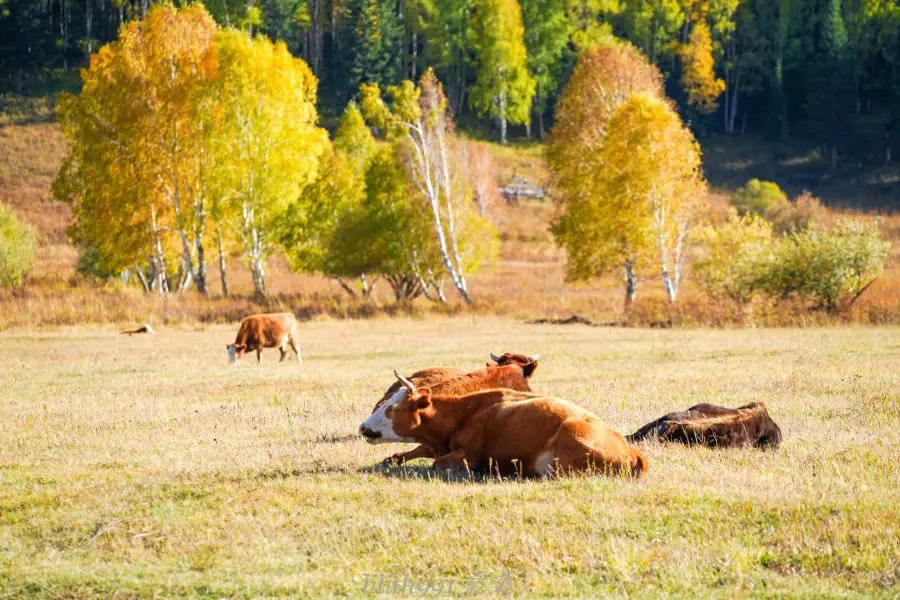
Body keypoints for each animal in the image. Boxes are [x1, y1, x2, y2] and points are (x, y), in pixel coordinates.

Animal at [362, 370, 652, 478]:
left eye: (394, 408)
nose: (363, 427)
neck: (465, 413)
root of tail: (630, 450)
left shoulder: (471, 454)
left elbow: (438, 463)